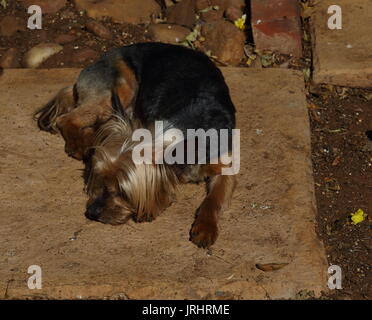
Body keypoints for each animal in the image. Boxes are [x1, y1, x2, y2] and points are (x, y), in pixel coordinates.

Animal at [35, 42, 238, 248]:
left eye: (122, 192)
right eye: (100, 181)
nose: (91, 212)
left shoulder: (225, 165)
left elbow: (214, 200)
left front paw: (205, 228)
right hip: (120, 89)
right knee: (65, 119)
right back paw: (81, 144)